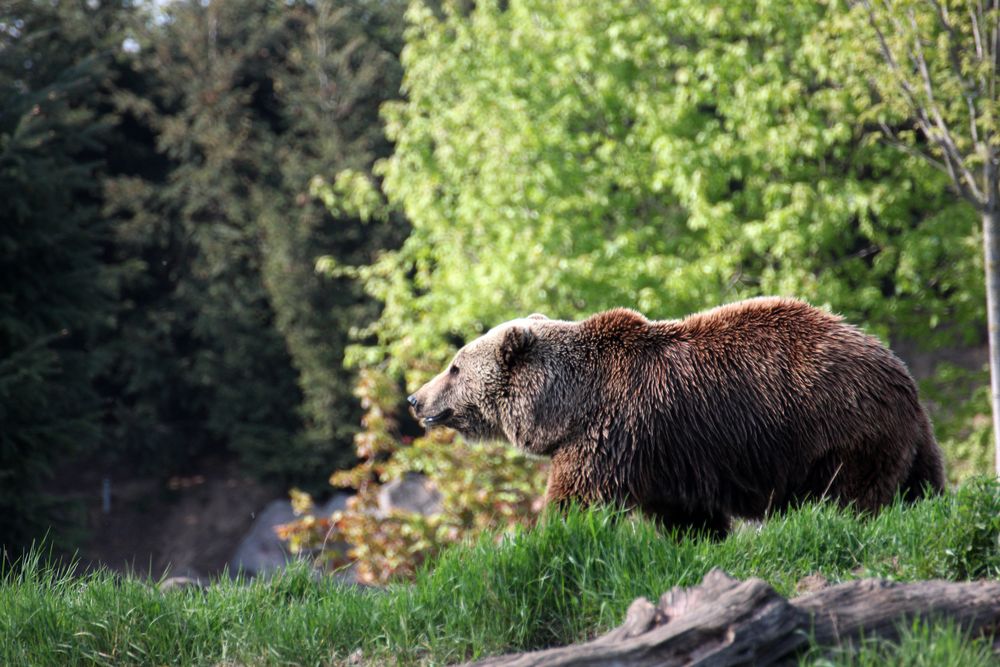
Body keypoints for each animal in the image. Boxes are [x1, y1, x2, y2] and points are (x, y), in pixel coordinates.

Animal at [406, 298, 944, 536]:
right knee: (922, 485)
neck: (567, 404)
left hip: (838, 426)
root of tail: (898, 370)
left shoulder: (611, 432)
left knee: (850, 495)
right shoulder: (666, 455)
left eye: (453, 366)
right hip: (912, 437)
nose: (415, 399)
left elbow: (578, 498)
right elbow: (686, 515)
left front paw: (548, 535)